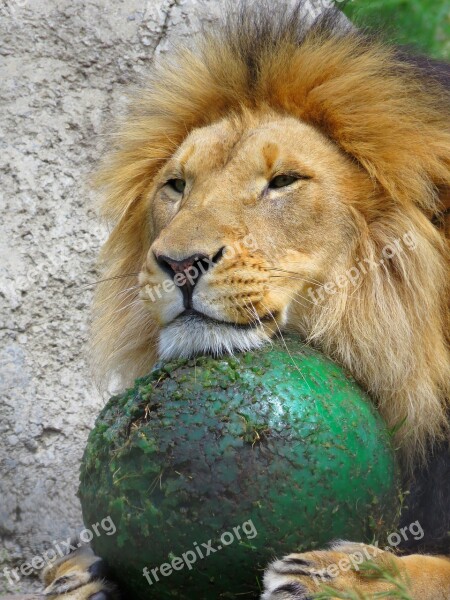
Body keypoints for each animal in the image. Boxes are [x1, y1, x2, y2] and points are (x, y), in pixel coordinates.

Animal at [43, 2, 450, 596]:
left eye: (283, 181)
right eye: (176, 185)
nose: (179, 264)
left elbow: (432, 570)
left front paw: (339, 574)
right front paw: (76, 573)